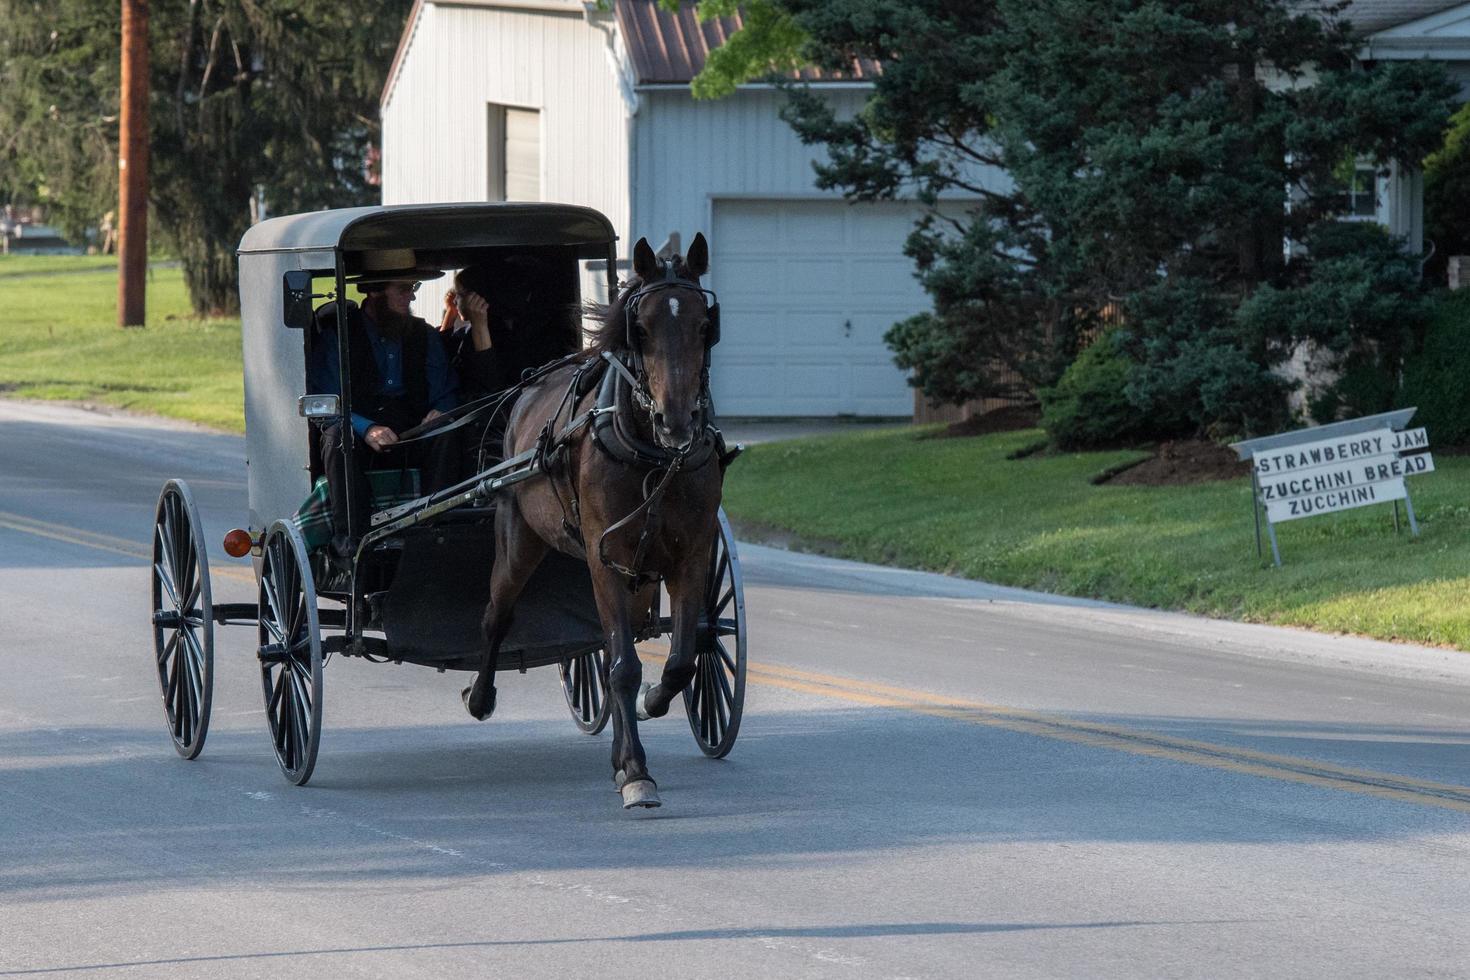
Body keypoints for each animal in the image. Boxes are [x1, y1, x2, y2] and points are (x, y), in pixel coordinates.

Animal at [464, 233, 723, 811]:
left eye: (705, 326)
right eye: (640, 329)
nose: (676, 422)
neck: (654, 457)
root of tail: (525, 392)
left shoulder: (691, 554)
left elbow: (680, 659)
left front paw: (652, 704)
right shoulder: (606, 558)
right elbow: (623, 665)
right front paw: (635, 771)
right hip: (519, 540)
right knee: (496, 614)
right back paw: (480, 696)